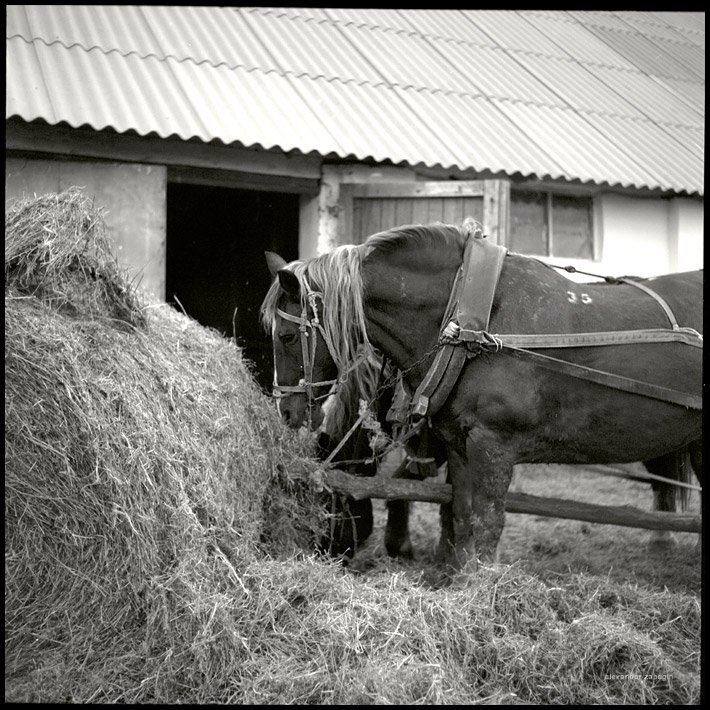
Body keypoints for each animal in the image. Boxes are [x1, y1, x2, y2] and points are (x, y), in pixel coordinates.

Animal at [264, 225, 704, 576]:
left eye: (285, 336)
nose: (286, 410)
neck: (471, 324)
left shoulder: (493, 445)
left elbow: (489, 520)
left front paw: (482, 587)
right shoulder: (459, 444)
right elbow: (461, 515)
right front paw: (458, 577)